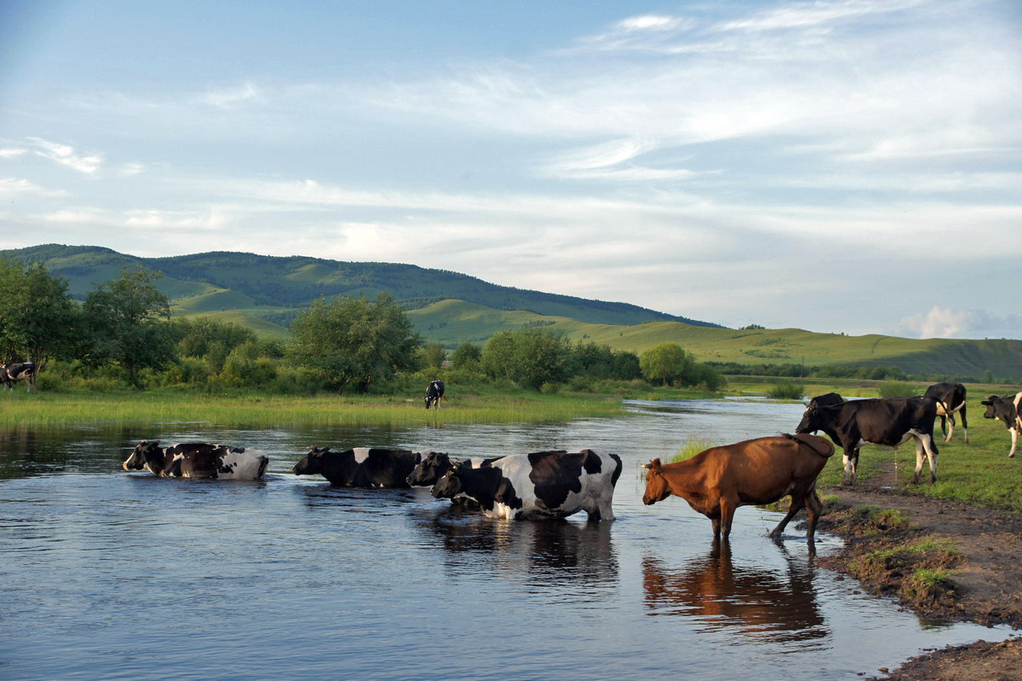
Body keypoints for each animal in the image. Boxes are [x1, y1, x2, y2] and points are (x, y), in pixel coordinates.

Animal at [427, 447, 617, 521]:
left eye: (449, 475)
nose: (432, 490)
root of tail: (611, 454)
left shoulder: (513, 509)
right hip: (592, 507)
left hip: (605, 502)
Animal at [641, 431, 833, 539]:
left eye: (648, 478)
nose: (644, 499)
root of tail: (819, 440)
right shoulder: (714, 505)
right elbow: (715, 530)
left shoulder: (729, 501)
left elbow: (725, 529)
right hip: (809, 486)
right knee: (815, 508)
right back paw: (808, 536)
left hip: (801, 483)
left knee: (796, 506)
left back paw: (775, 532)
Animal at [793, 392, 936, 482]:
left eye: (808, 416)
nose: (797, 430)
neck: (839, 415)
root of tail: (925, 398)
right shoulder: (855, 444)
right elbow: (854, 461)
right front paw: (852, 479)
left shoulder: (848, 441)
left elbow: (845, 462)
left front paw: (844, 482)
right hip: (917, 436)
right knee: (921, 455)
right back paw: (915, 479)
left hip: (925, 434)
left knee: (932, 453)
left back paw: (932, 479)